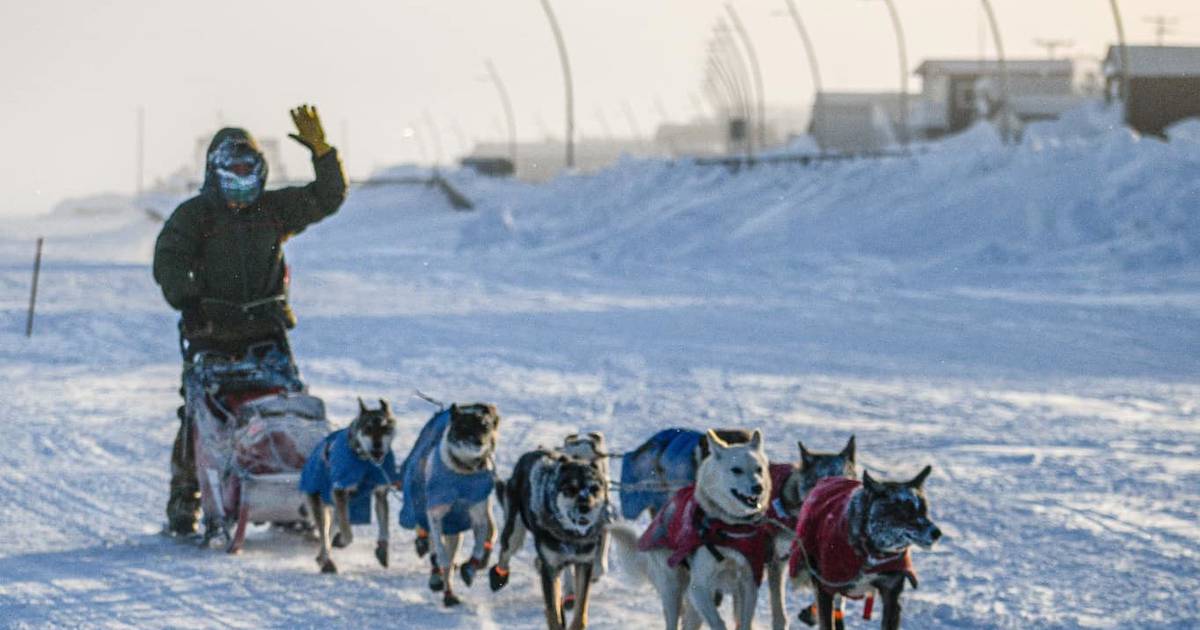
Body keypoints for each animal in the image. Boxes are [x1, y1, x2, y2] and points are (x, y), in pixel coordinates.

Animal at [300, 400, 398, 571]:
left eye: (385, 428)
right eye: (368, 428)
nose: (377, 446)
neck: (365, 463)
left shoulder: (380, 493)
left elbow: (384, 527)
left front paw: (382, 549)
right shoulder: (340, 491)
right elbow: (348, 534)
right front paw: (343, 541)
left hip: (338, 507)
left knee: (331, 530)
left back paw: (322, 558)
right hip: (322, 506)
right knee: (325, 535)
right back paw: (326, 560)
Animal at [398, 403, 501, 604]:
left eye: (485, 426)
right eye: (465, 426)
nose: (479, 442)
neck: (462, 472)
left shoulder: (478, 515)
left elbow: (478, 546)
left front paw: (470, 568)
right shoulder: (435, 516)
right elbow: (441, 554)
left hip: (455, 529)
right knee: (435, 550)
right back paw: (438, 577)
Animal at [487, 446, 609, 628]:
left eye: (594, 488)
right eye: (570, 489)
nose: (586, 507)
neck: (570, 534)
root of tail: (530, 453)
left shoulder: (584, 562)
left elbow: (581, 609)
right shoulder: (551, 567)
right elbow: (553, 612)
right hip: (514, 530)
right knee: (505, 552)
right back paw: (498, 576)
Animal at [614, 427, 772, 628]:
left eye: (759, 469)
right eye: (736, 470)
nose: (758, 487)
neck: (729, 526)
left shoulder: (748, 585)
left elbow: (744, 622)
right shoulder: (699, 588)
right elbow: (718, 623)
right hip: (673, 589)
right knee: (673, 620)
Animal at [787, 465, 945, 628]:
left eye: (924, 510)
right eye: (906, 511)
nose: (936, 533)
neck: (872, 554)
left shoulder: (891, 593)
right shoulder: (826, 587)